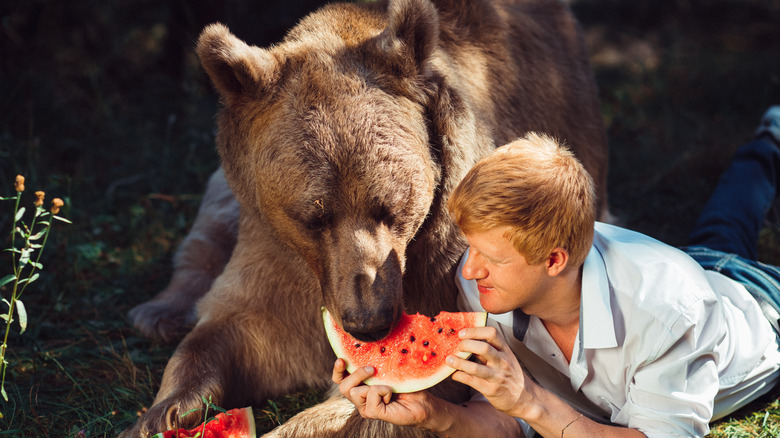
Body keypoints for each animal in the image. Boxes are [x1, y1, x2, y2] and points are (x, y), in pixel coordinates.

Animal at [123, 0, 608, 436]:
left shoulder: (438, 263)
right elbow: (233, 329)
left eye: (390, 208)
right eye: (313, 218)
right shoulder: (274, 249)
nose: (369, 323)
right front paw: (161, 413)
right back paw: (159, 312)